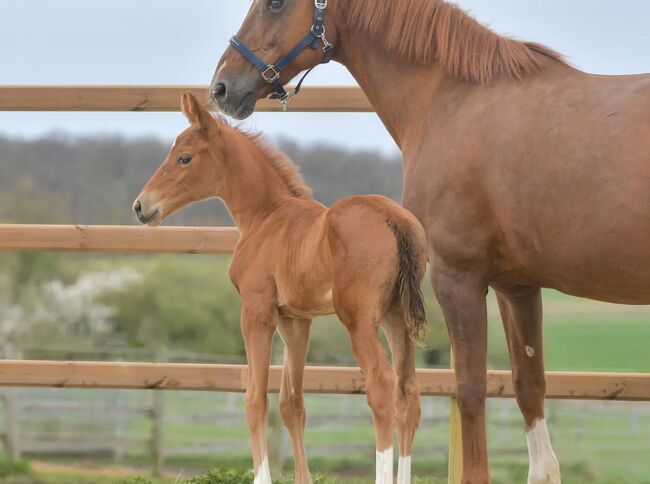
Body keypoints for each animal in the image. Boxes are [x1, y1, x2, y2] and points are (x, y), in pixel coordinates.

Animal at [134, 92, 428, 482]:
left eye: (184, 157)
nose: (141, 206)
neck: (266, 216)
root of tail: (392, 218)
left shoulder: (257, 311)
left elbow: (255, 398)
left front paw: (262, 476)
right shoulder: (295, 319)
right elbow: (292, 403)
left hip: (359, 319)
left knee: (381, 385)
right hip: (397, 317)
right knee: (408, 391)